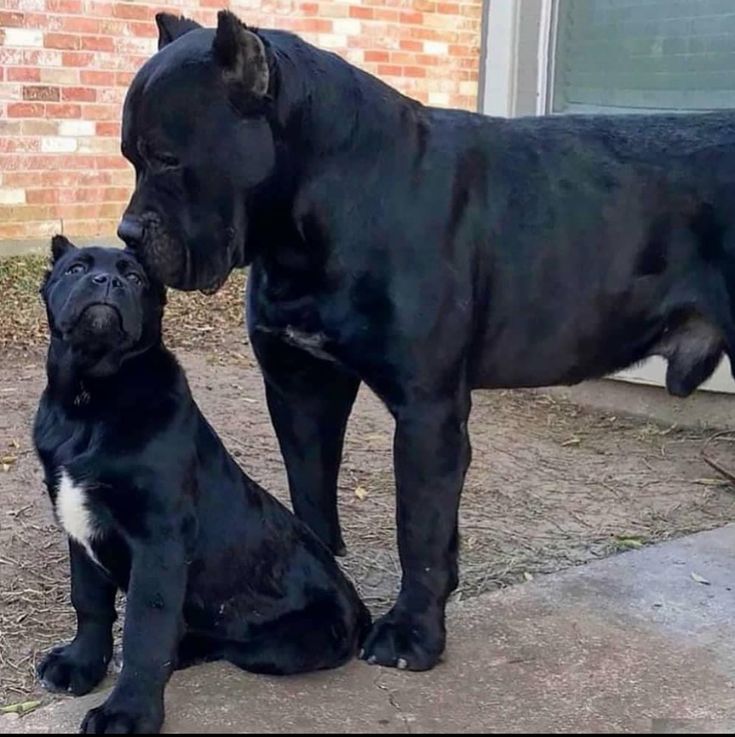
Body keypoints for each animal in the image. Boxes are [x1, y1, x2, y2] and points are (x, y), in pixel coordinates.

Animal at [32, 239, 370, 732]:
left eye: (134, 277)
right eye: (75, 269)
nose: (107, 281)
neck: (90, 399)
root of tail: (360, 608)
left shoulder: (159, 541)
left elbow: (145, 629)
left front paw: (127, 713)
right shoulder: (78, 524)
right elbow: (89, 603)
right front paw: (79, 666)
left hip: (286, 644)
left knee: (226, 644)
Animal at [118, 8, 735, 668]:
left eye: (168, 158)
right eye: (129, 158)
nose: (126, 233)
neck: (306, 220)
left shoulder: (425, 410)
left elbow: (419, 526)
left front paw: (412, 633)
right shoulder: (301, 388)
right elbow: (311, 499)